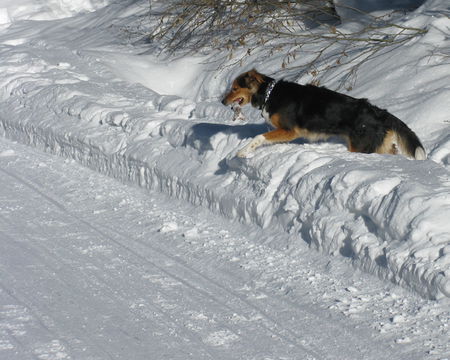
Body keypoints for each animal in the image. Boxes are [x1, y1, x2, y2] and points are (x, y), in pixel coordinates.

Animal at [223, 69, 428, 160]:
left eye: (234, 89)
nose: (222, 102)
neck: (269, 93)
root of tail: (379, 112)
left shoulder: (289, 130)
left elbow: (259, 137)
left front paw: (242, 151)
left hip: (361, 146)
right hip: (379, 145)